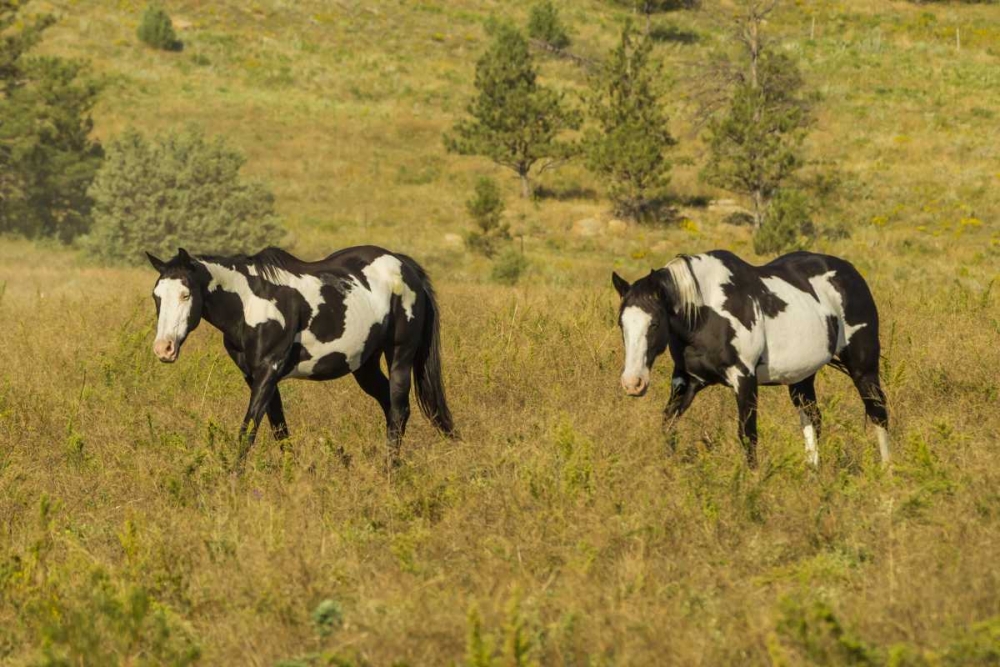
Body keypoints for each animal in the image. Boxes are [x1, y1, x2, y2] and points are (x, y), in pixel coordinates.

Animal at [146, 245, 456, 470]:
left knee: (399, 408)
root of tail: (404, 265)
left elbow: (249, 430)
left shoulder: (268, 371)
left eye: (186, 294)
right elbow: (279, 428)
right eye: (156, 296)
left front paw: (234, 478)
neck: (249, 303)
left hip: (400, 356)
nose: (164, 349)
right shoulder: (255, 377)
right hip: (365, 366)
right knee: (391, 407)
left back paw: (390, 470)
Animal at [612, 250, 888, 470]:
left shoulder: (744, 378)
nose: (633, 383)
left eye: (654, 323)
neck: (704, 317)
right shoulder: (686, 380)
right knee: (812, 419)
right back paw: (813, 473)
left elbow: (748, 434)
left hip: (864, 369)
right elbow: (668, 424)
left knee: (878, 412)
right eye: (621, 324)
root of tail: (850, 272)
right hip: (802, 378)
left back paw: (887, 473)